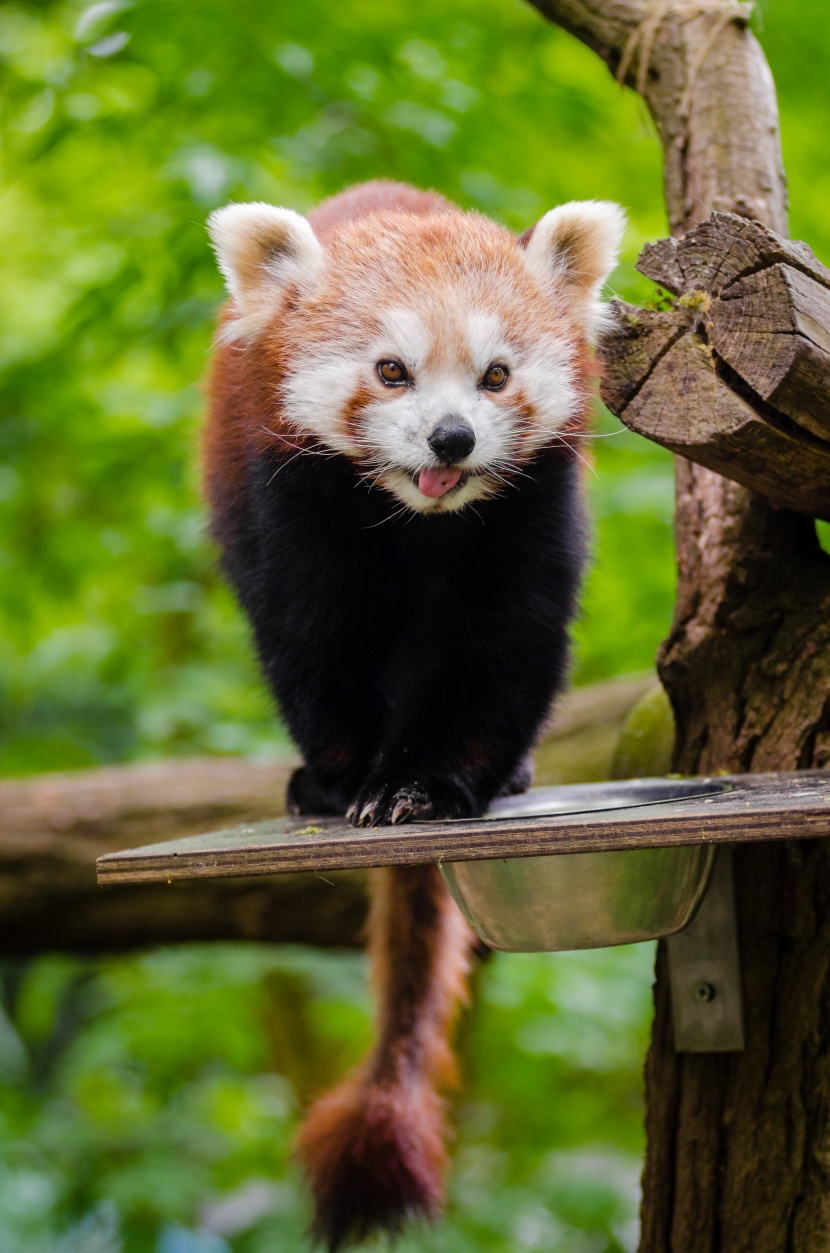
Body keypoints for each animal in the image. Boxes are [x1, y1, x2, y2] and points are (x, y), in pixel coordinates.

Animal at [204, 181, 626, 1247]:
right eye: (391, 371)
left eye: (496, 374)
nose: (452, 438)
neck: (418, 519)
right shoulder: (289, 496)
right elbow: (312, 636)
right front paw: (351, 780)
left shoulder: (531, 507)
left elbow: (501, 647)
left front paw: (424, 787)